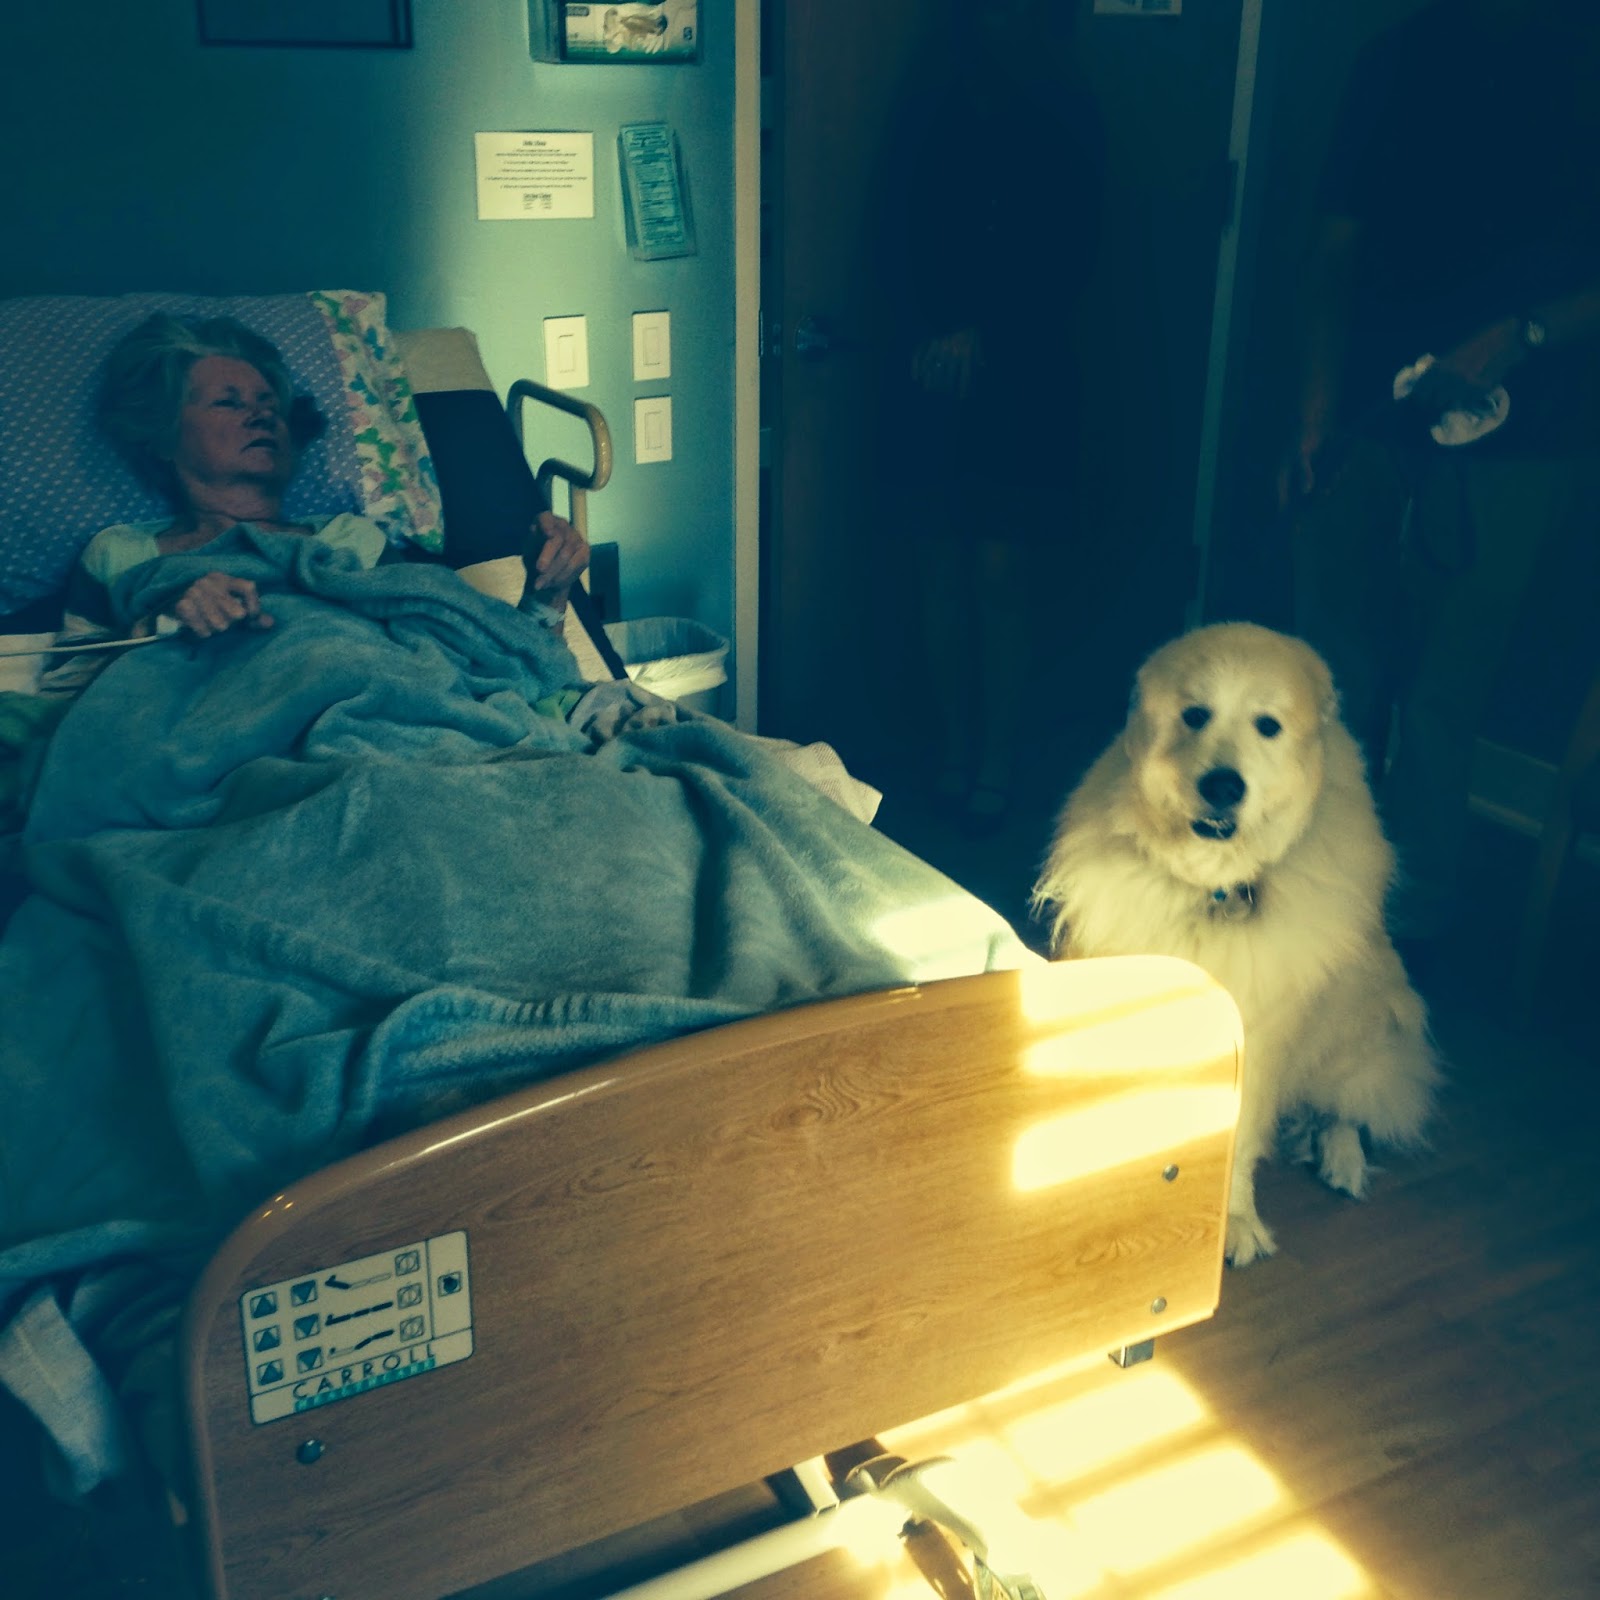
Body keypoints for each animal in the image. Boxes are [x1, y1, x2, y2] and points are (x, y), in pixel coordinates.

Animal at [1031, 622, 1439, 1266]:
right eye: (1195, 715)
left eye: (1266, 725)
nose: (1223, 785)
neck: (1214, 890)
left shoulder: (1260, 1040)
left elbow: (1241, 1137)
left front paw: (1237, 1220)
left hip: (1352, 1025)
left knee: (1345, 1106)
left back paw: (1342, 1161)